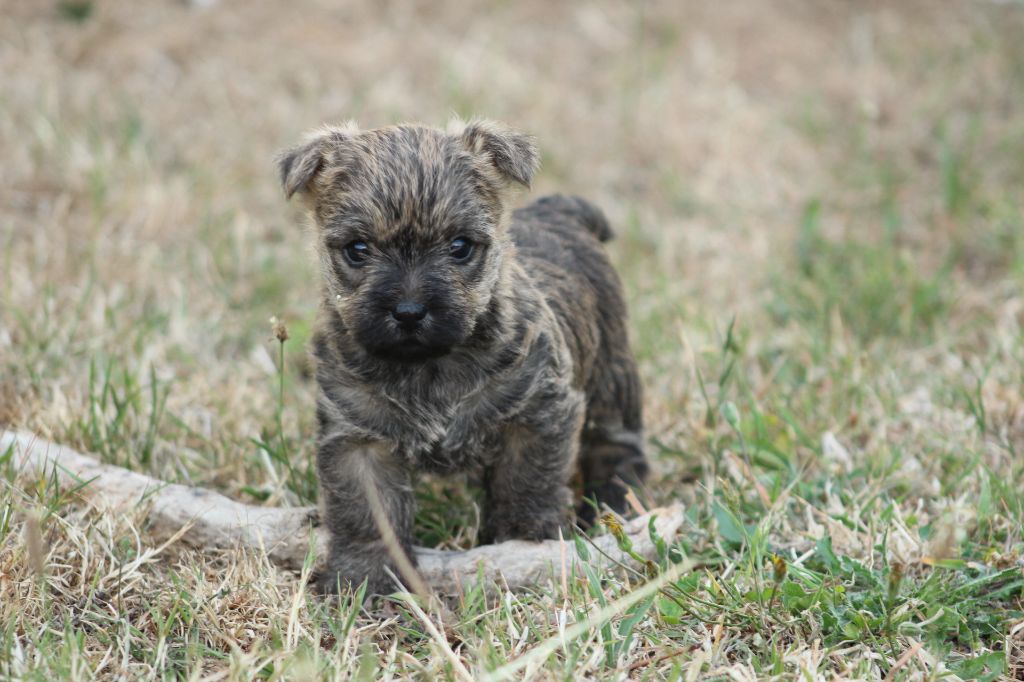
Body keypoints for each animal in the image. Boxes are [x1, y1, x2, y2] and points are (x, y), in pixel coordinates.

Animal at [277, 120, 647, 595]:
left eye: (460, 246)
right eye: (358, 249)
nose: (409, 310)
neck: (428, 367)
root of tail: (561, 211)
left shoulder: (538, 413)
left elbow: (528, 482)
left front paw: (525, 541)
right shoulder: (357, 440)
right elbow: (366, 513)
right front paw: (363, 577)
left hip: (610, 376)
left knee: (616, 444)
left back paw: (617, 501)